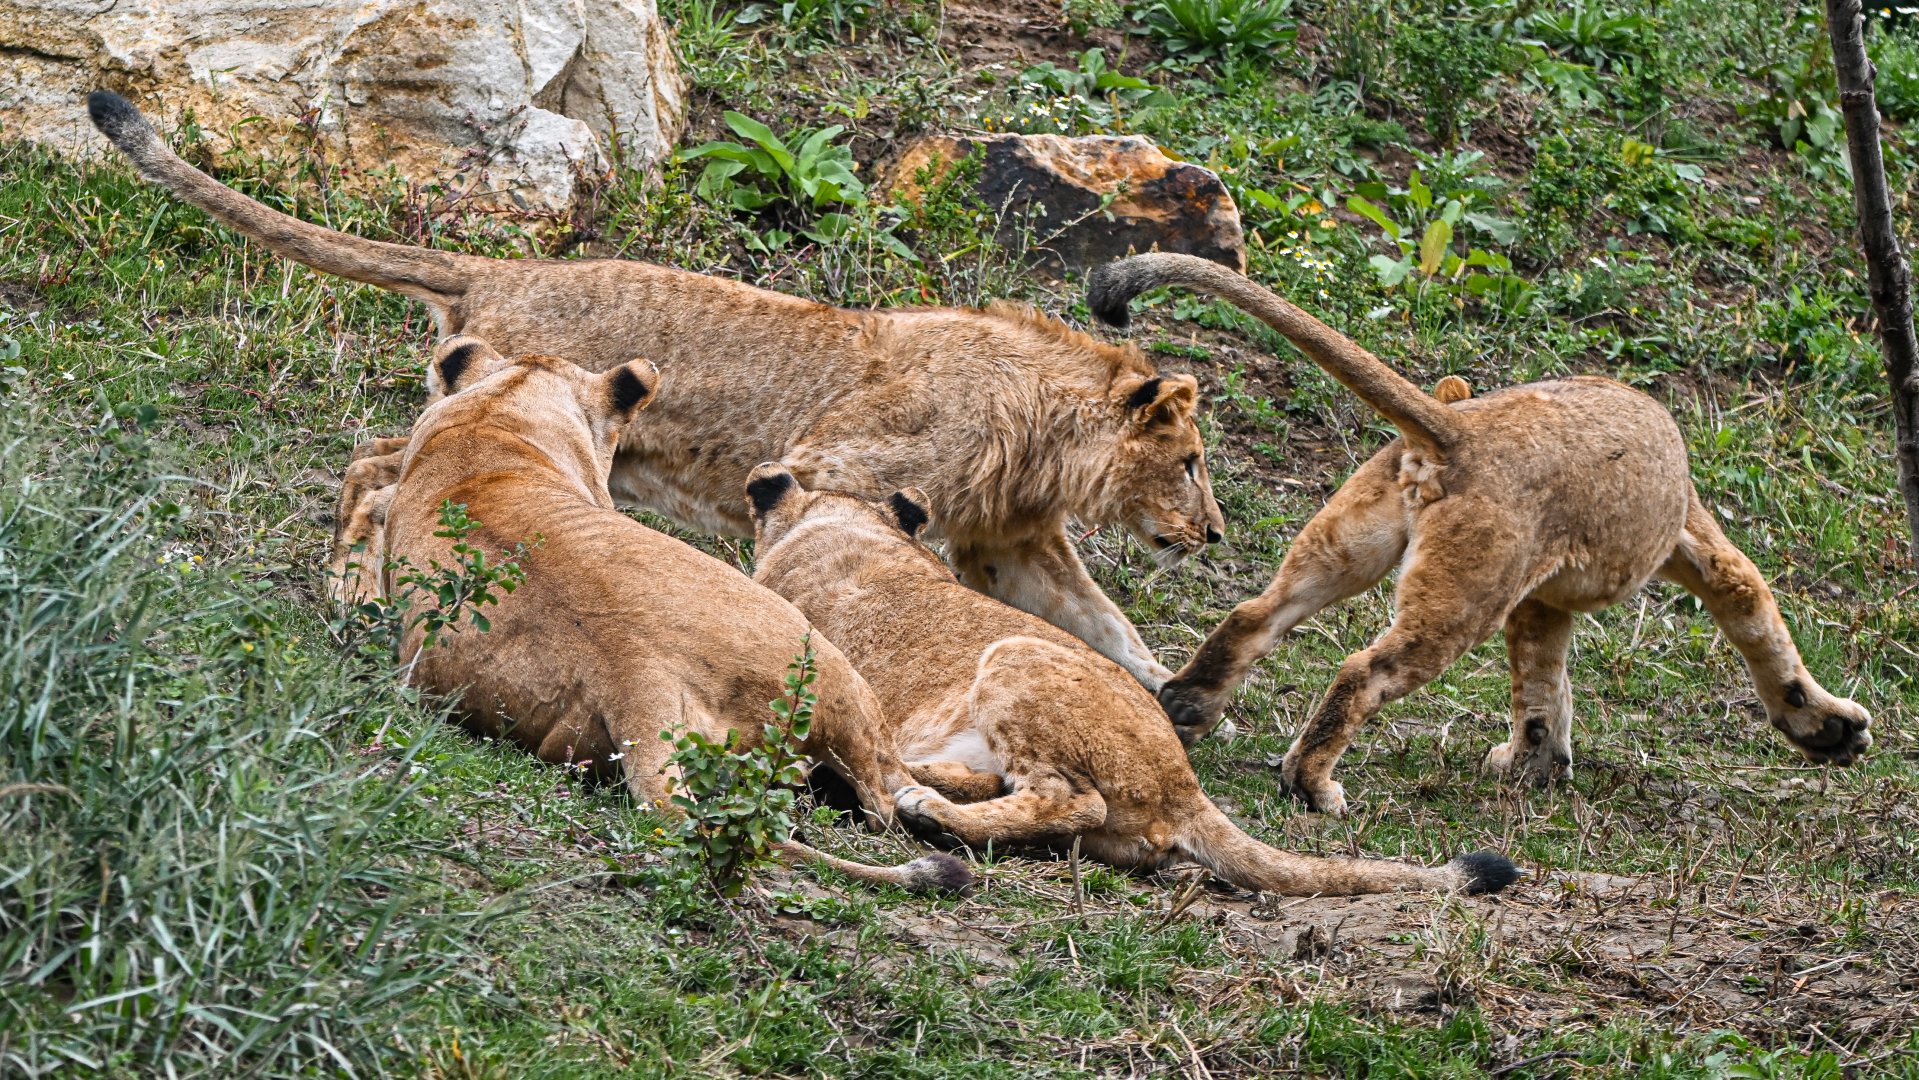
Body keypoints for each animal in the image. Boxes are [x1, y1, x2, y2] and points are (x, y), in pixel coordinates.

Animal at [87, 91, 1222, 690]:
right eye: (1191, 462)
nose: (1214, 535)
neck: (1044, 432)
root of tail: (499, 270)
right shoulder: (827, 463)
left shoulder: (1014, 540)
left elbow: (1104, 624)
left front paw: (1178, 701)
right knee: (374, 466)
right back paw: (352, 590)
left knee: (374, 461)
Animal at [1086, 253, 1872, 816]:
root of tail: (1457, 430)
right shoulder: (1688, 532)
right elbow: (1752, 608)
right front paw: (1827, 728)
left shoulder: (1539, 595)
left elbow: (1540, 678)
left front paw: (1533, 762)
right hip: (1464, 596)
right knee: (1362, 670)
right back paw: (1311, 784)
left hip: (1348, 547)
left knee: (1255, 614)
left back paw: (1188, 706)